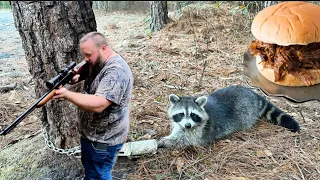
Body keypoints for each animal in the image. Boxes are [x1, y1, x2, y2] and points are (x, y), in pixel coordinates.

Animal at [158, 85, 300, 148]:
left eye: (193, 115)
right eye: (181, 114)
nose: (187, 125)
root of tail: (252, 93)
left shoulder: (199, 133)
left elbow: (184, 140)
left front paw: (162, 142)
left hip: (245, 112)